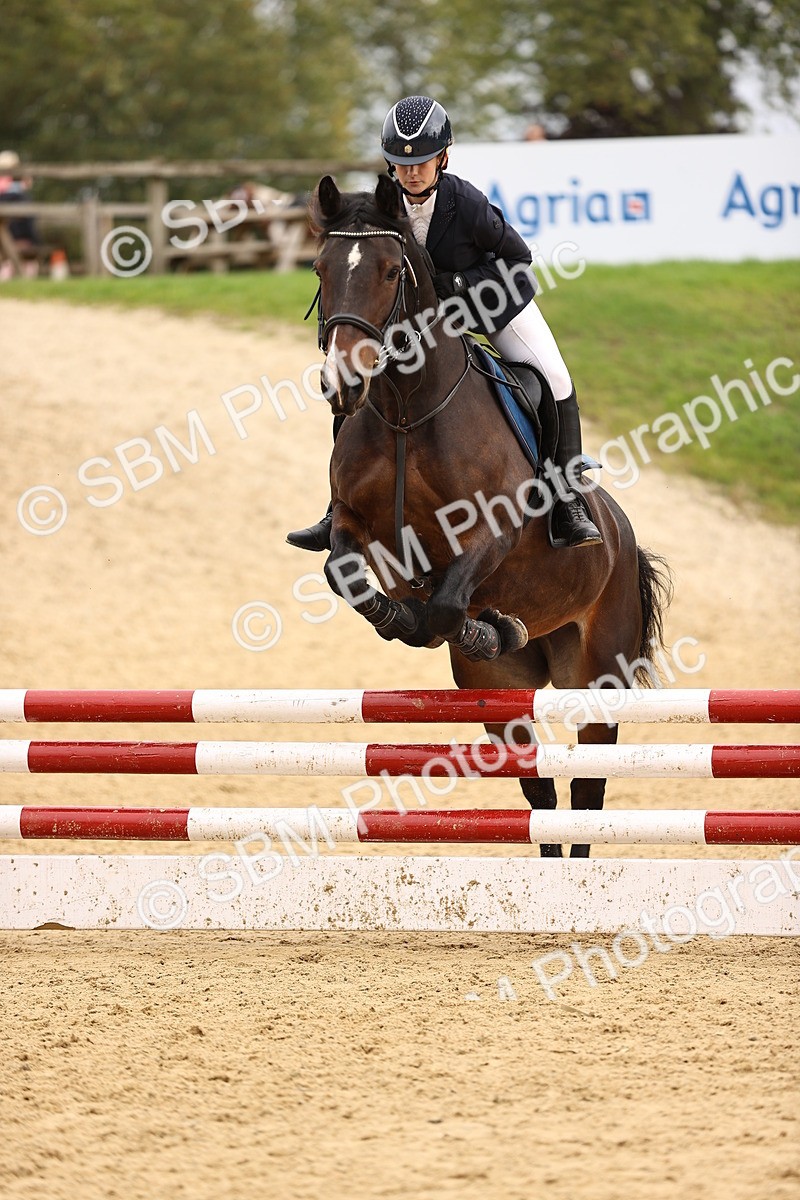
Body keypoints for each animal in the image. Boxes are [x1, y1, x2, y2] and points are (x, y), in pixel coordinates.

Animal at [309, 173, 673, 857]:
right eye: (320, 268)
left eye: (392, 271)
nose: (343, 384)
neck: (407, 409)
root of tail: (623, 535)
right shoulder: (354, 523)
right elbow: (348, 576)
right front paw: (414, 617)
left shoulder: (489, 534)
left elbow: (446, 605)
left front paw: (459, 622)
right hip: (501, 693)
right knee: (541, 795)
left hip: (599, 677)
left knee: (588, 792)